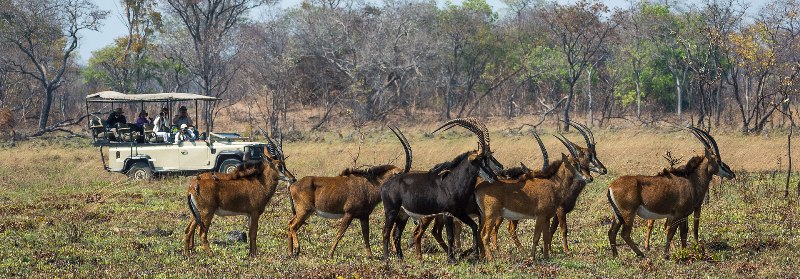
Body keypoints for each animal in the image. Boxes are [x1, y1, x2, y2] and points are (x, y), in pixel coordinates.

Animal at [288, 126, 412, 258]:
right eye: (400, 176)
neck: (370, 184)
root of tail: (293, 185)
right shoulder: (349, 214)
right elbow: (340, 233)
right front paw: (330, 254)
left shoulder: (364, 216)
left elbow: (366, 235)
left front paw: (370, 256)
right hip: (305, 211)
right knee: (293, 226)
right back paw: (297, 249)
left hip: (302, 212)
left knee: (290, 223)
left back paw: (290, 252)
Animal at [382, 118, 500, 264]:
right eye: (479, 160)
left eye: (487, 159)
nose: (494, 177)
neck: (451, 182)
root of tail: (385, 185)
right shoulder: (447, 213)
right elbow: (450, 236)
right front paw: (452, 259)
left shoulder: (459, 212)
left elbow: (474, 227)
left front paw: (475, 255)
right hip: (391, 211)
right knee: (386, 233)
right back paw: (387, 259)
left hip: (403, 215)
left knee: (397, 234)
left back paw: (400, 259)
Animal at [472, 132, 592, 262]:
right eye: (575, 164)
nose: (589, 178)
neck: (552, 184)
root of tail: (478, 188)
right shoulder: (540, 217)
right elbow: (536, 237)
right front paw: (532, 258)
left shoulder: (546, 218)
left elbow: (545, 237)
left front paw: (546, 257)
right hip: (492, 216)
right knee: (485, 235)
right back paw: (491, 258)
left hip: (485, 216)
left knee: (481, 233)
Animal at [608, 128, 736, 260]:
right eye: (719, 161)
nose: (732, 174)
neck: (692, 180)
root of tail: (611, 186)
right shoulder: (678, 214)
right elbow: (671, 232)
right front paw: (666, 255)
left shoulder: (684, 215)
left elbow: (683, 233)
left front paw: (684, 252)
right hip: (628, 213)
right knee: (625, 233)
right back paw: (640, 253)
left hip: (618, 214)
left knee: (612, 232)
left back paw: (615, 255)